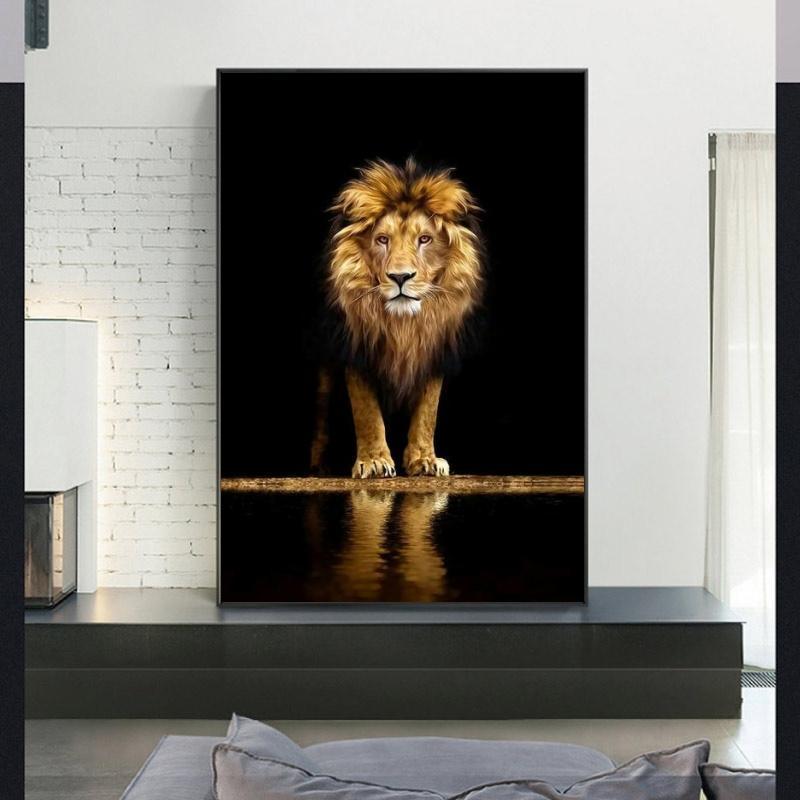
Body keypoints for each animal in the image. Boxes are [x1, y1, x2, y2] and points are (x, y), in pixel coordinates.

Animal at [310, 157, 485, 479]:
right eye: (382, 239)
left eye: (425, 239)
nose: (400, 277)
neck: (403, 325)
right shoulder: (356, 347)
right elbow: (366, 411)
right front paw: (374, 461)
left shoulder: (433, 347)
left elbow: (428, 410)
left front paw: (425, 460)